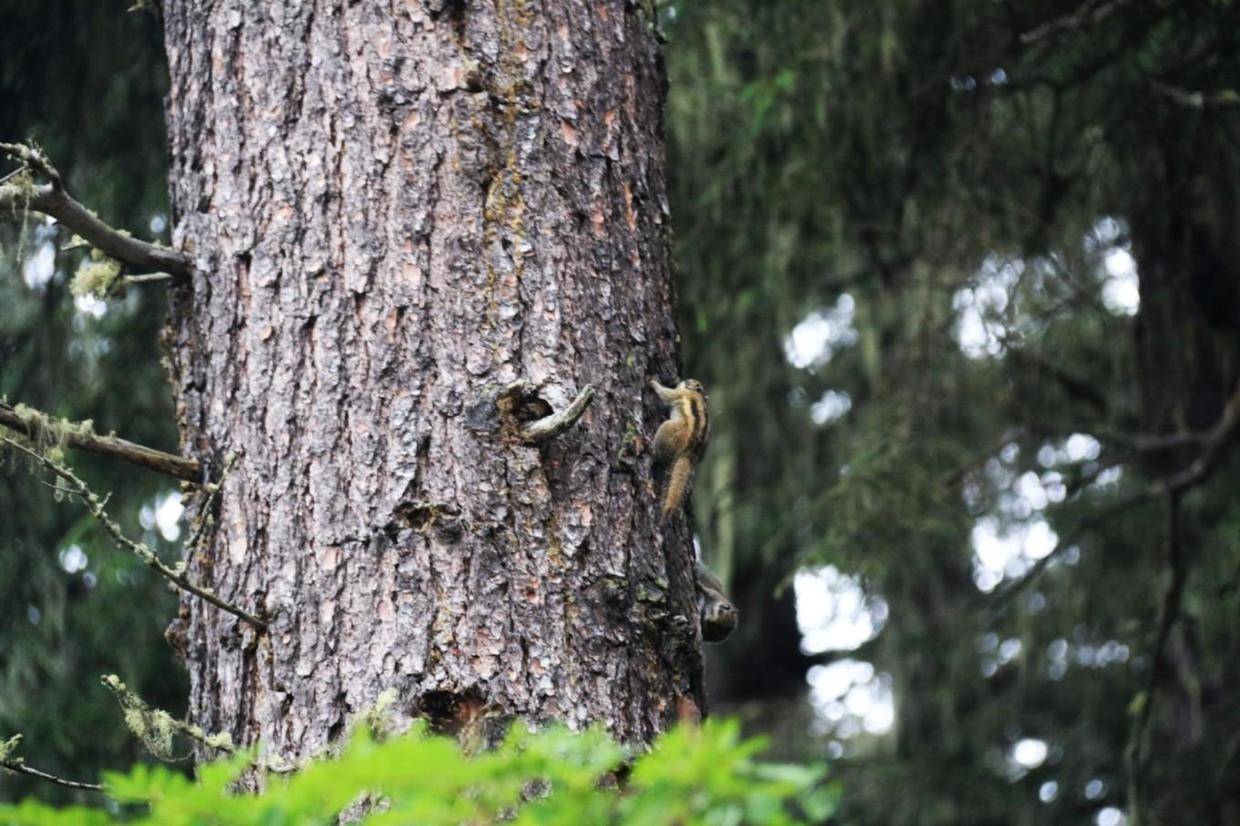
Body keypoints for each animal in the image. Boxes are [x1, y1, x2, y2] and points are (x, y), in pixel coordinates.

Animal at [649, 377, 709, 520]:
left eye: (694, 382)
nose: (686, 379)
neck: (697, 394)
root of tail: (691, 452)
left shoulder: (677, 394)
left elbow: (665, 394)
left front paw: (653, 383)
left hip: (669, 428)